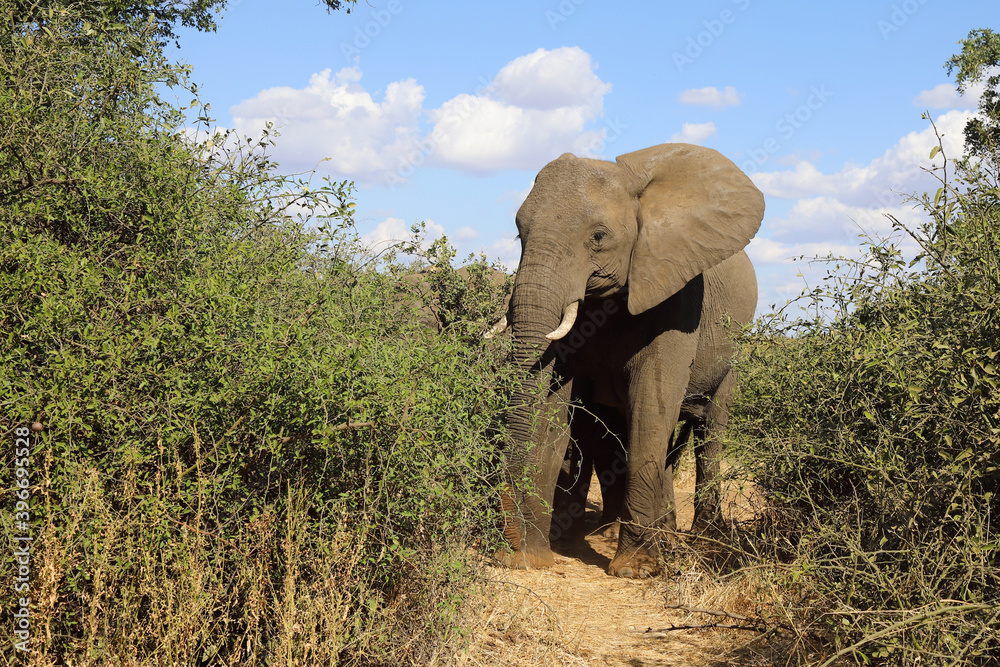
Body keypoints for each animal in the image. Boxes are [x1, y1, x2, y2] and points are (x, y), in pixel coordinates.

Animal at [497, 143, 763, 578]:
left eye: (598, 237)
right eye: (521, 232)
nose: (510, 549)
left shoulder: (677, 297)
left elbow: (650, 412)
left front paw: (635, 569)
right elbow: (554, 416)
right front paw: (531, 559)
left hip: (735, 350)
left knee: (710, 433)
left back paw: (703, 541)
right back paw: (665, 538)